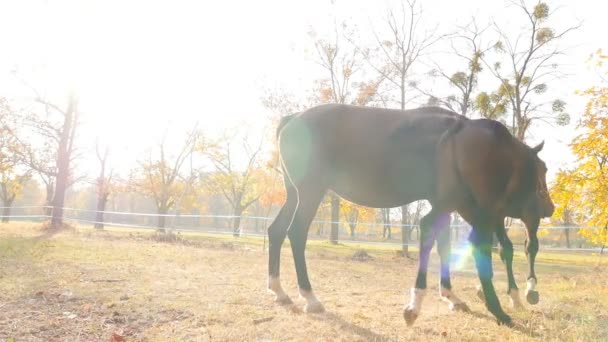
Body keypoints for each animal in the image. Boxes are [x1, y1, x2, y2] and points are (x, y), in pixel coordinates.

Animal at [268, 104, 552, 326]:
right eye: (542, 171)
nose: (549, 208)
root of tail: (292, 118)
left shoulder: (447, 207)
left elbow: (444, 246)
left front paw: (452, 297)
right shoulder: (465, 210)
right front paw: (418, 305)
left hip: (294, 194)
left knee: (276, 230)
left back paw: (279, 291)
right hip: (310, 192)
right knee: (296, 233)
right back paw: (310, 297)